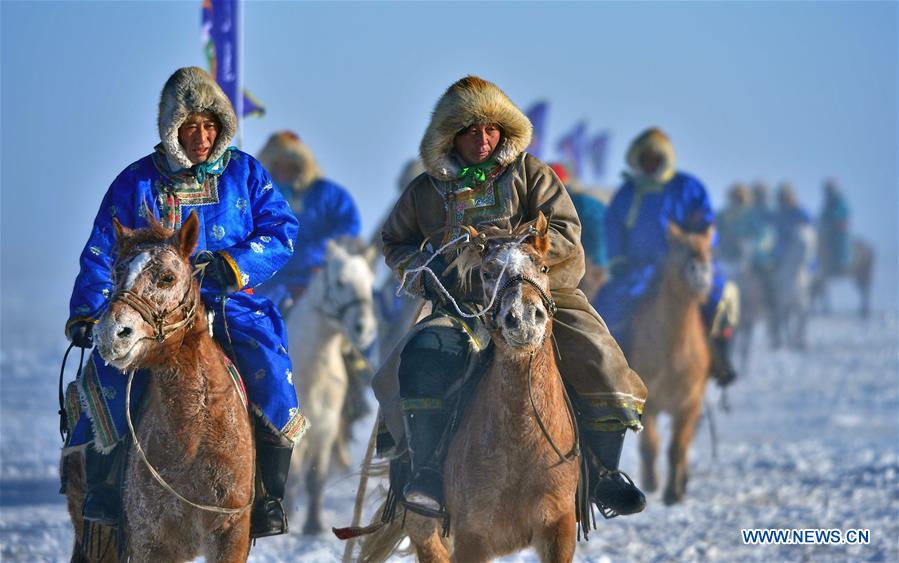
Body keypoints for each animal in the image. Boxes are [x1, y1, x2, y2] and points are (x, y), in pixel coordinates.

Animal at [60, 213, 253, 563]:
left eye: (167, 277)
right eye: (116, 271)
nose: (110, 333)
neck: (194, 442)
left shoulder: (230, 534)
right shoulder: (148, 543)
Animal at [284, 236, 376, 536]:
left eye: (370, 284)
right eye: (340, 281)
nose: (363, 329)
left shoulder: (326, 427)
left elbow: (317, 478)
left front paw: (313, 524)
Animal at [356, 213, 580, 563]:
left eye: (543, 267)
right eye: (487, 273)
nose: (524, 319)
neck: (521, 438)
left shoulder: (559, 527)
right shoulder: (473, 537)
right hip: (424, 525)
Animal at [632, 224, 716, 506]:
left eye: (709, 248)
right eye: (678, 247)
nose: (700, 271)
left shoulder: (689, 404)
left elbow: (677, 448)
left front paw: (673, 493)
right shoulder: (647, 402)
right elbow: (651, 445)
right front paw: (651, 482)